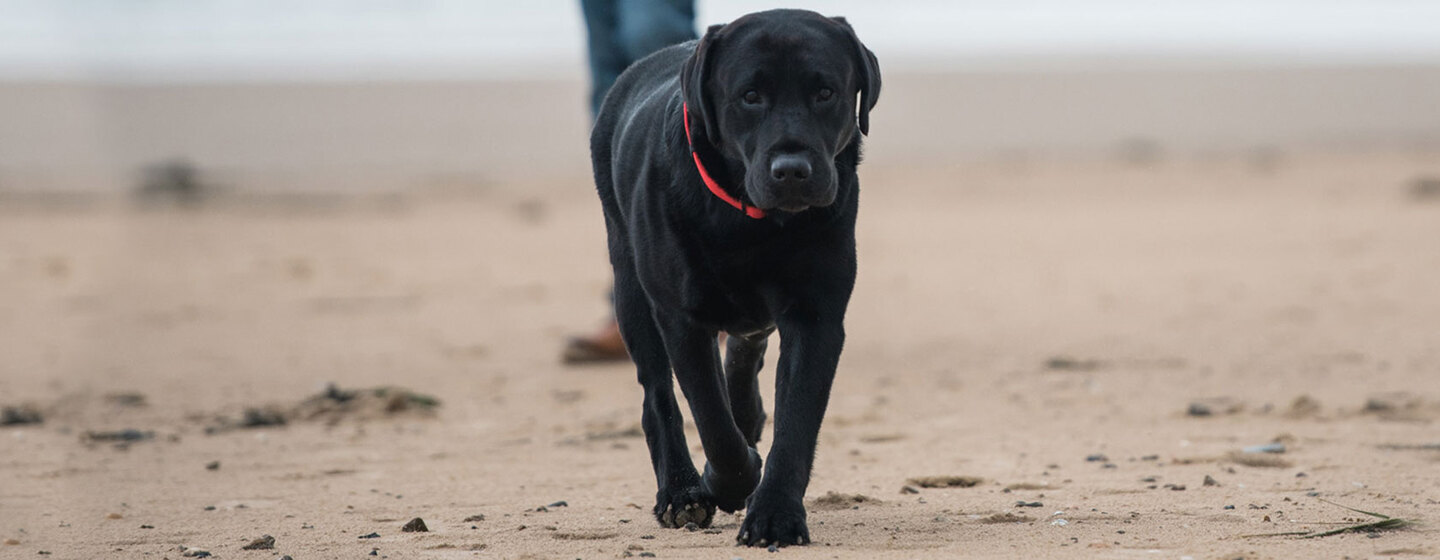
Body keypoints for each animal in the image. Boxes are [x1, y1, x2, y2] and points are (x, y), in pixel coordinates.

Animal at [587, 8, 875, 547]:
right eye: (750, 95)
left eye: (825, 92)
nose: (792, 169)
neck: (752, 226)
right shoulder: (681, 318)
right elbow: (712, 420)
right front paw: (725, 483)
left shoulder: (816, 316)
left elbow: (795, 421)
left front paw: (776, 515)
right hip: (631, 291)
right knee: (659, 396)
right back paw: (680, 491)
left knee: (745, 353)